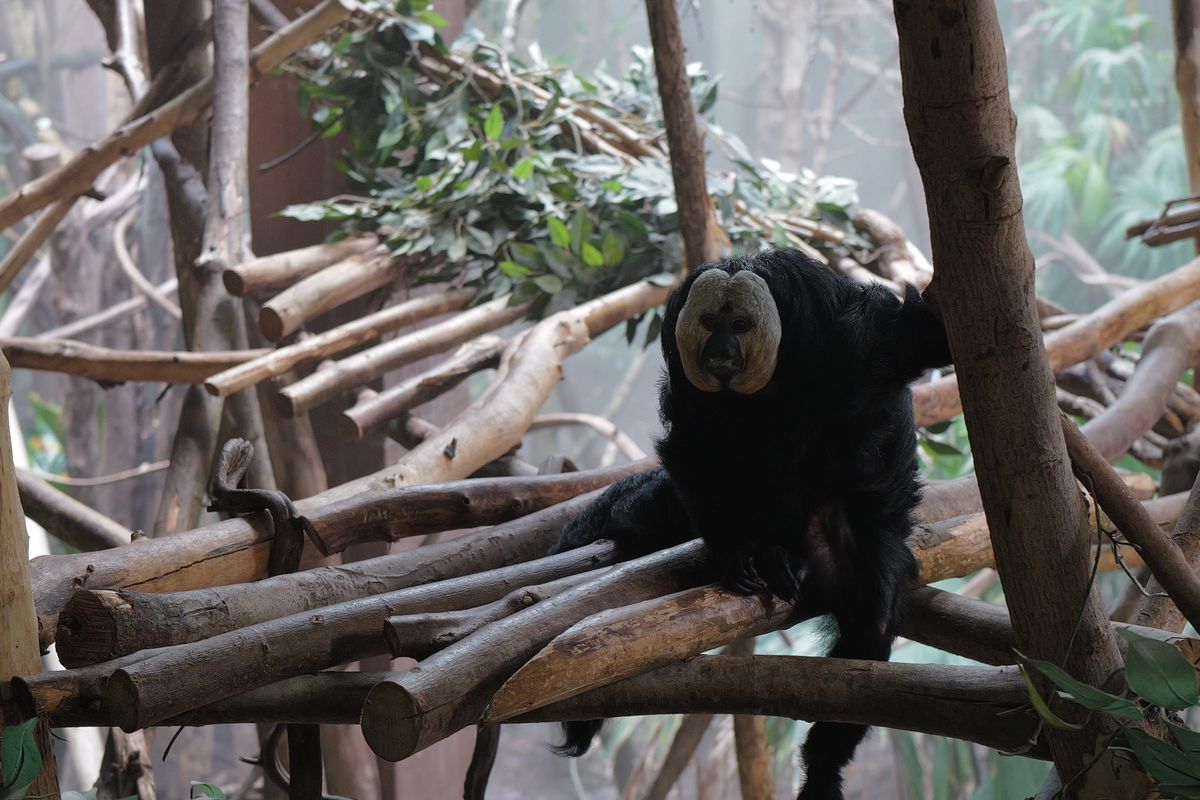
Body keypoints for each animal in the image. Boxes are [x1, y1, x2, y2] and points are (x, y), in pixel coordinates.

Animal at [549, 248, 953, 800]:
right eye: (709, 323)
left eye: (739, 325)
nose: (722, 351)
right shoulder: (687, 381)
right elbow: (696, 449)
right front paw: (734, 553)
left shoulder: (846, 333)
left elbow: (911, 341)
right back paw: (770, 554)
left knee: (869, 611)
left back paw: (823, 766)